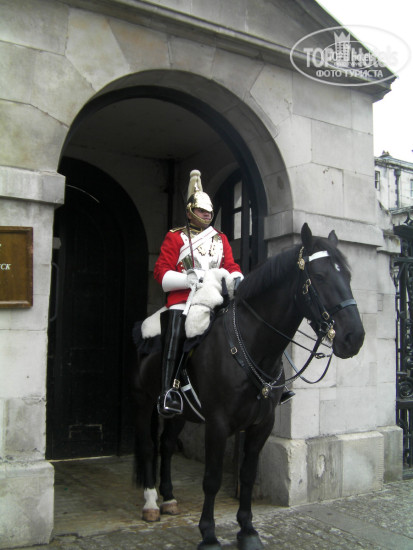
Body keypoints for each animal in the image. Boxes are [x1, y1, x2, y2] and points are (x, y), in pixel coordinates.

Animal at [132, 223, 365, 550]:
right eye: (319, 277)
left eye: (348, 276)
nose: (354, 337)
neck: (253, 346)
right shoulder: (217, 424)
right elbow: (212, 479)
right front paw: (209, 534)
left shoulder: (261, 424)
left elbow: (248, 474)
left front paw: (248, 530)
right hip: (143, 402)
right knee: (148, 445)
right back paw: (152, 502)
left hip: (181, 413)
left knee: (166, 445)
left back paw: (169, 498)